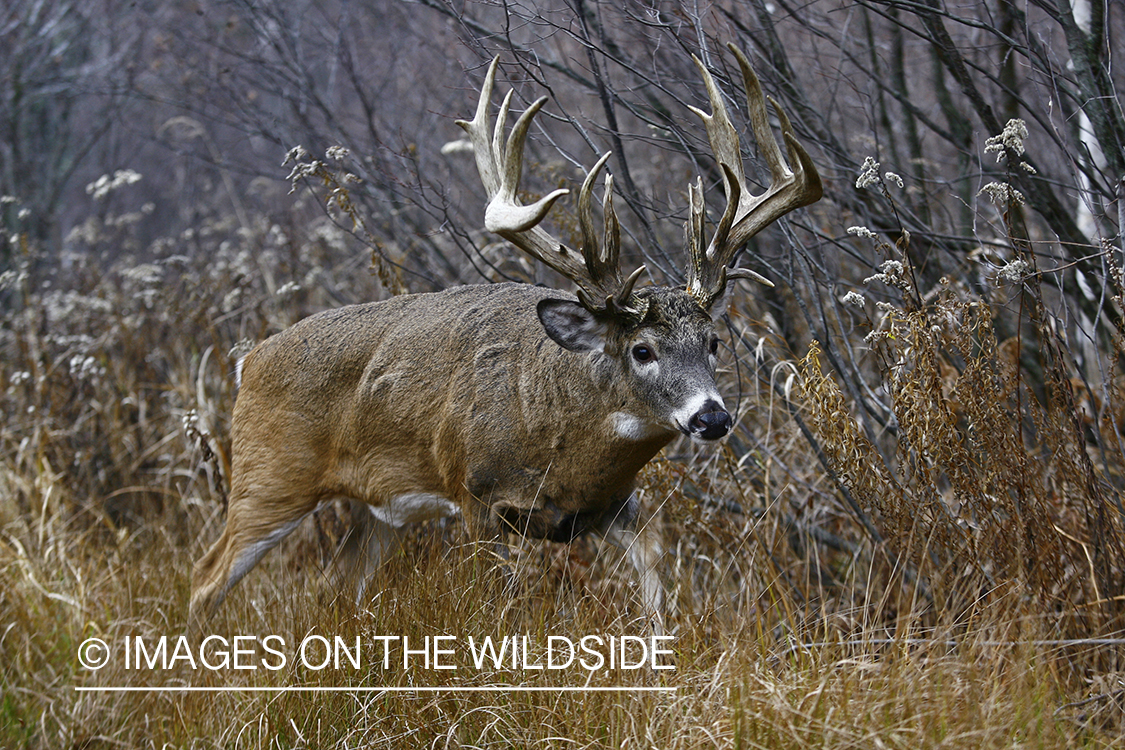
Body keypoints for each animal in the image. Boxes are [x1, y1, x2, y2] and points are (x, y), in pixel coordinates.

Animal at [184, 44, 819, 638]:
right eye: (642, 350)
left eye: (712, 342)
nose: (712, 417)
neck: (567, 441)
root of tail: (249, 359)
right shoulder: (477, 494)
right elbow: (492, 608)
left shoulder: (618, 503)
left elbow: (656, 578)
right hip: (269, 476)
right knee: (205, 577)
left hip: (377, 510)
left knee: (333, 587)